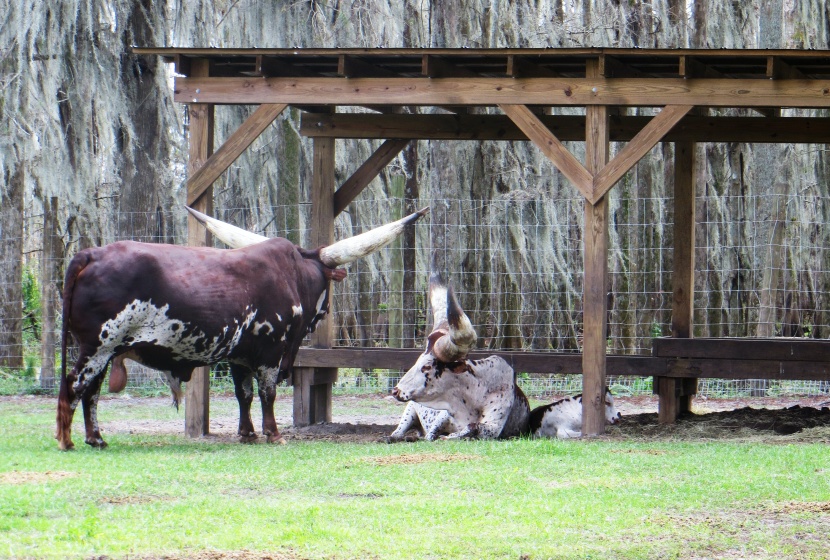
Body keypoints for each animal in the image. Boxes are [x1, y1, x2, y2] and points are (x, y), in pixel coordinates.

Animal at [57, 206, 428, 450]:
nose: (325, 312)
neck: (293, 275)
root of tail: (90, 254)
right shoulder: (272, 352)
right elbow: (267, 392)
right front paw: (273, 433)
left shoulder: (239, 355)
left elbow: (243, 394)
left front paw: (247, 433)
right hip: (98, 346)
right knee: (75, 384)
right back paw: (66, 439)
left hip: (106, 351)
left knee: (91, 391)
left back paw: (95, 438)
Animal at [388, 276, 528, 442]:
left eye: (427, 366)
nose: (395, 390)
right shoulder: (442, 416)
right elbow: (431, 435)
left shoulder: (494, 427)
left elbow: (472, 427)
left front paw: (450, 436)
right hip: (409, 412)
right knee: (398, 432)